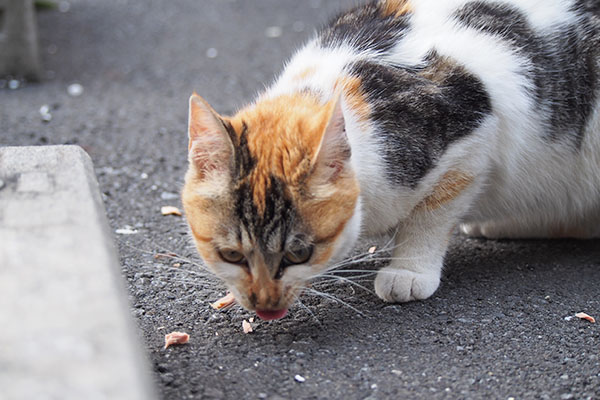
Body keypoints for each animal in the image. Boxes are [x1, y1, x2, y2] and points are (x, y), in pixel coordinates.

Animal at [183, 0, 600, 318]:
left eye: (299, 253)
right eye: (231, 255)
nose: (264, 305)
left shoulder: (473, 137)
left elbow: (432, 213)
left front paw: (408, 271)